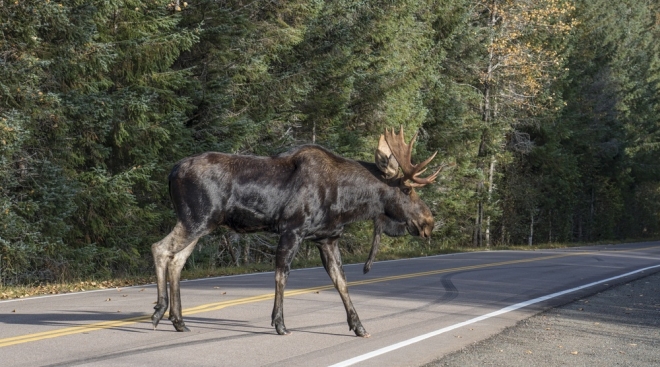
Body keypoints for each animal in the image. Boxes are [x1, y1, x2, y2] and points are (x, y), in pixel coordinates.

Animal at [151, 127, 444, 340]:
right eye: (407, 190)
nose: (428, 222)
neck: (347, 200)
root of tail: (171, 172)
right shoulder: (292, 230)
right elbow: (282, 276)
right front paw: (279, 324)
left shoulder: (327, 238)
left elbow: (341, 281)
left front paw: (359, 326)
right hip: (196, 219)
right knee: (160, 248)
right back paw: (158, 312)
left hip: (202, 224)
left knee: (177, 261)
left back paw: (179, 321)